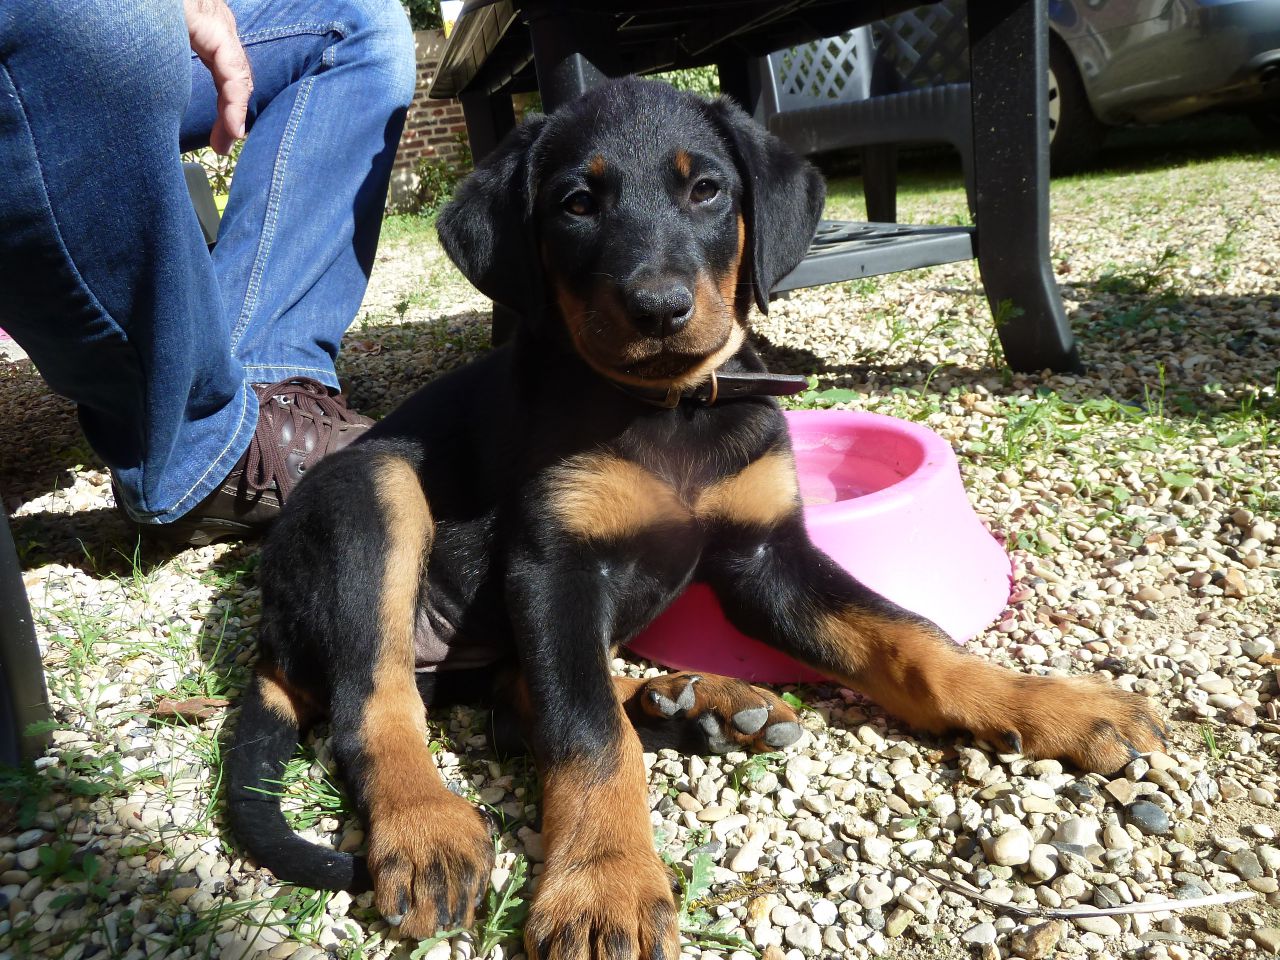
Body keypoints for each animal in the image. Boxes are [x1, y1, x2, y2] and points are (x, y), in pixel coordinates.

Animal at [226, 77, 1165, 960]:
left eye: (707, 191)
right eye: (575, 203)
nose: (659, 307)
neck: (669, 409)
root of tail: (273, 635)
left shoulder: (767, 557)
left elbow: (908, 637)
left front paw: (1047, 703)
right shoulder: (554, 566)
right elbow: (588, 734)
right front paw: (604, 884)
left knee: (515, 695)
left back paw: (692, 699)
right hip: (373, 491)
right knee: (381, 703)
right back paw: (430, 825)